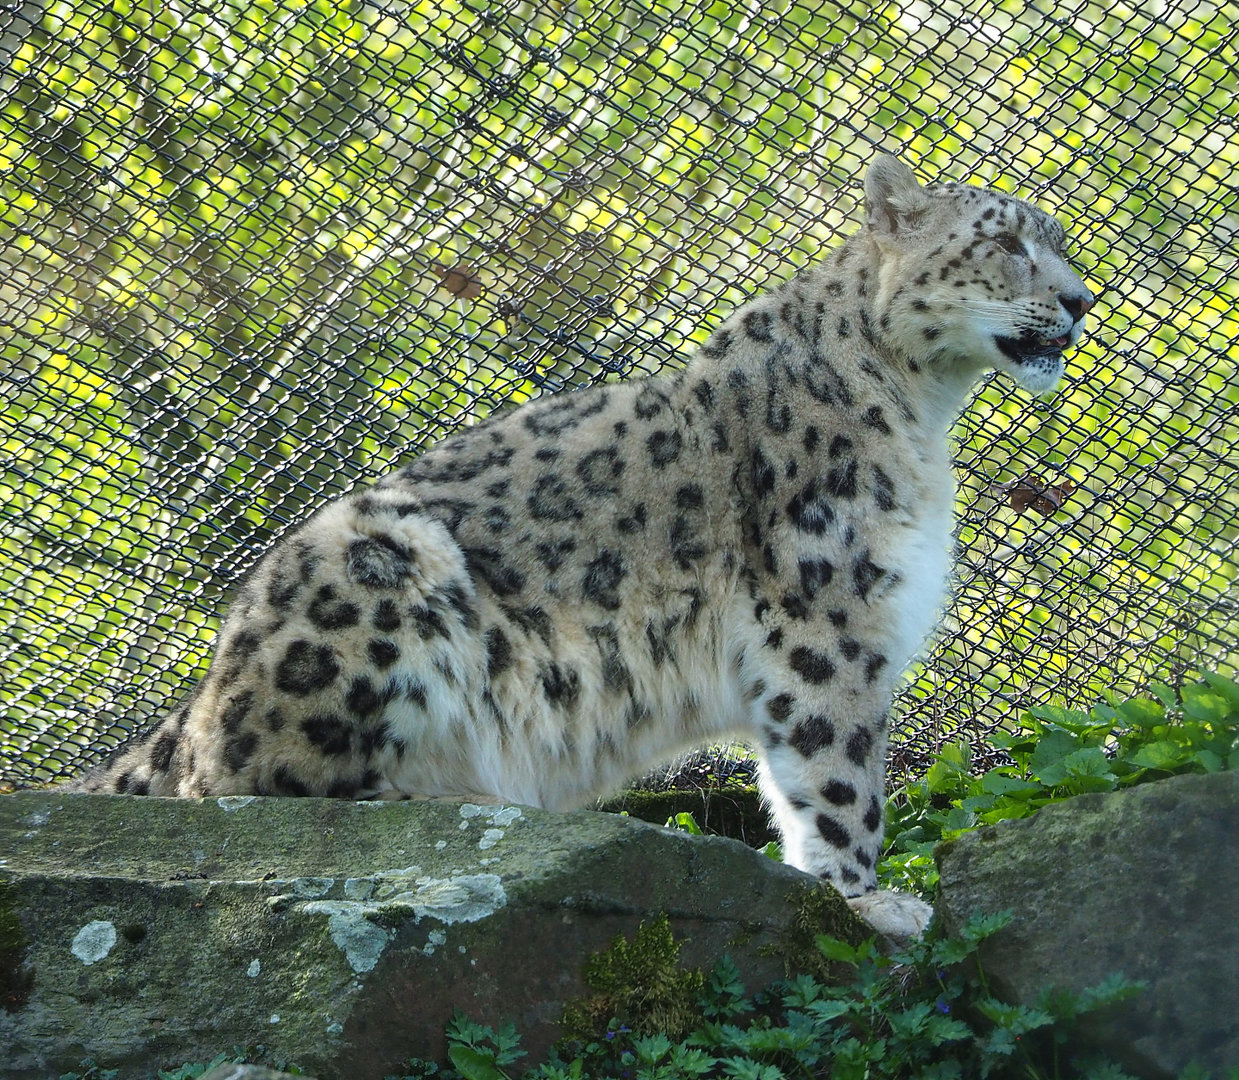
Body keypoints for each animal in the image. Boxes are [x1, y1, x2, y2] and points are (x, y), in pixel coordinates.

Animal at [66, 155, 1094, 940]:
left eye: (1060, 244)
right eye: (1005, 242)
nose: (1083, 301)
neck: (925, 408)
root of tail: (204, 690)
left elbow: (797, 778)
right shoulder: (826, 618)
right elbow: (837, 777)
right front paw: (866, 902)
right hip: (372, 572)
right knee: (261, 803)